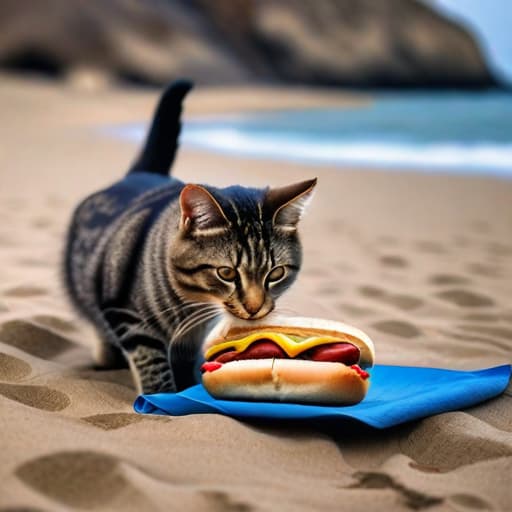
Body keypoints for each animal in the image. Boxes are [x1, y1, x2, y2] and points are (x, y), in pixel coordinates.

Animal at [64, 80, 316, 394]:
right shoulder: (128, 316)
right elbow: (152, 363)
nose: (254, 308)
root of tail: (140, 174)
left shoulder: (192, 336)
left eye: (276, 273)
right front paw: (160, 395)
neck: (192, 303)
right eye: (226, 273)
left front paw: (190, 387)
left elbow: (186, 363)